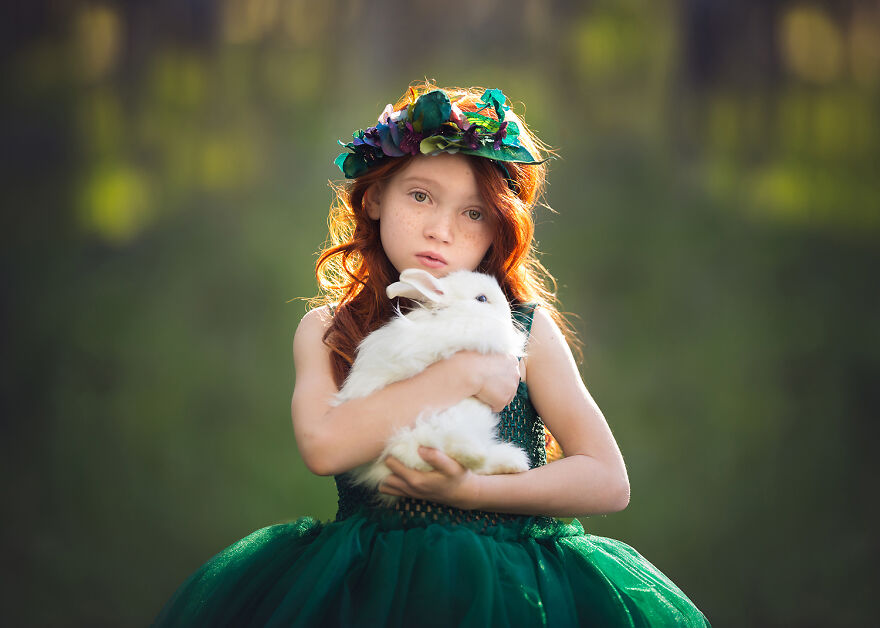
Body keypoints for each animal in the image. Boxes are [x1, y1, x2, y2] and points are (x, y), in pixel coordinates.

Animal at [334, 268, 528, 502]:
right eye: (481, 299)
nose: (508, 312)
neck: (457, 315)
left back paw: (514, 463)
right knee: (456, 453)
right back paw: (481, 455)